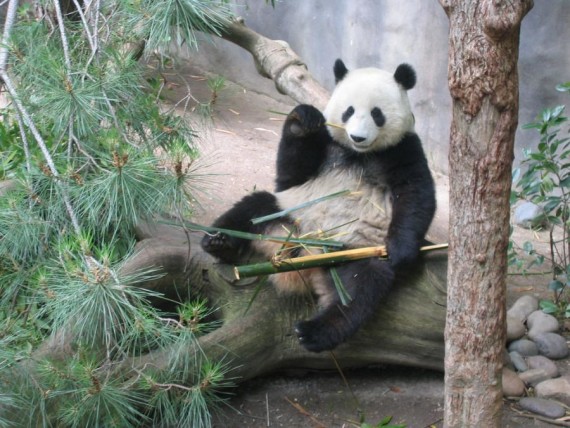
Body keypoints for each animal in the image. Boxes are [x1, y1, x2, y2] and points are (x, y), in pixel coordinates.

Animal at [201, 59, 434, 352]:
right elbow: (290, 175)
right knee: (254, 208)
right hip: (288, 215)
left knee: (358, 289)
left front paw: (401, 250)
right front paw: (303, 121)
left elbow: (416, 193)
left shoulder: (403, 148)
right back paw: (219, 242)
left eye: (377, 114)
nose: (358, 137)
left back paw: (314, 332)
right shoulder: (326, 145)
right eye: (348, 111)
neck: (358, 155)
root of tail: (305, 254)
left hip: (355, 251)